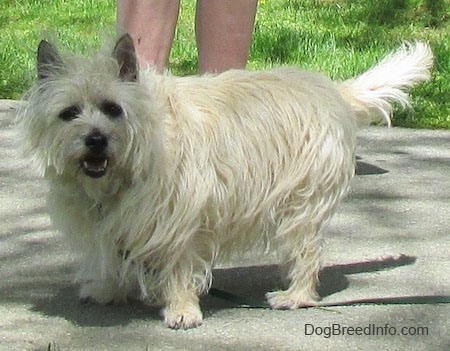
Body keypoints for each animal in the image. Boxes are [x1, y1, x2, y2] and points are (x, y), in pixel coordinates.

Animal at [16, 34, 432, 328]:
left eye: (112, 109)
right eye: (69, 113)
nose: (95, 139)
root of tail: (330, 88)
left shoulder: (180, 219)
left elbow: (179, 266)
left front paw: (182, 309)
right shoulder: (109, 222)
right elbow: (110, 254)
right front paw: (108, 289)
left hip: (301, 205)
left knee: (308, 253)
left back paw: (295, 295)